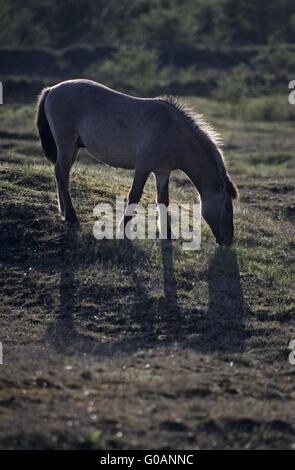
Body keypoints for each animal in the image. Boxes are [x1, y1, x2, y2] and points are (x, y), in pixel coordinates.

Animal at [35, 79, 238, 246]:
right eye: (228, 206)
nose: (228, 240)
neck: (172, 131)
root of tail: (51, 89)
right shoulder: (143, 167)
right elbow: (134, 195)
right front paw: (122, 228)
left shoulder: (162, 171)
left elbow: (163, 200)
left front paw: (167, 233)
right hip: (66, 145)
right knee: (61, 174)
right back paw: (71, 216)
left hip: (72, 148)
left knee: (62, 175)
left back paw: (64, 212)